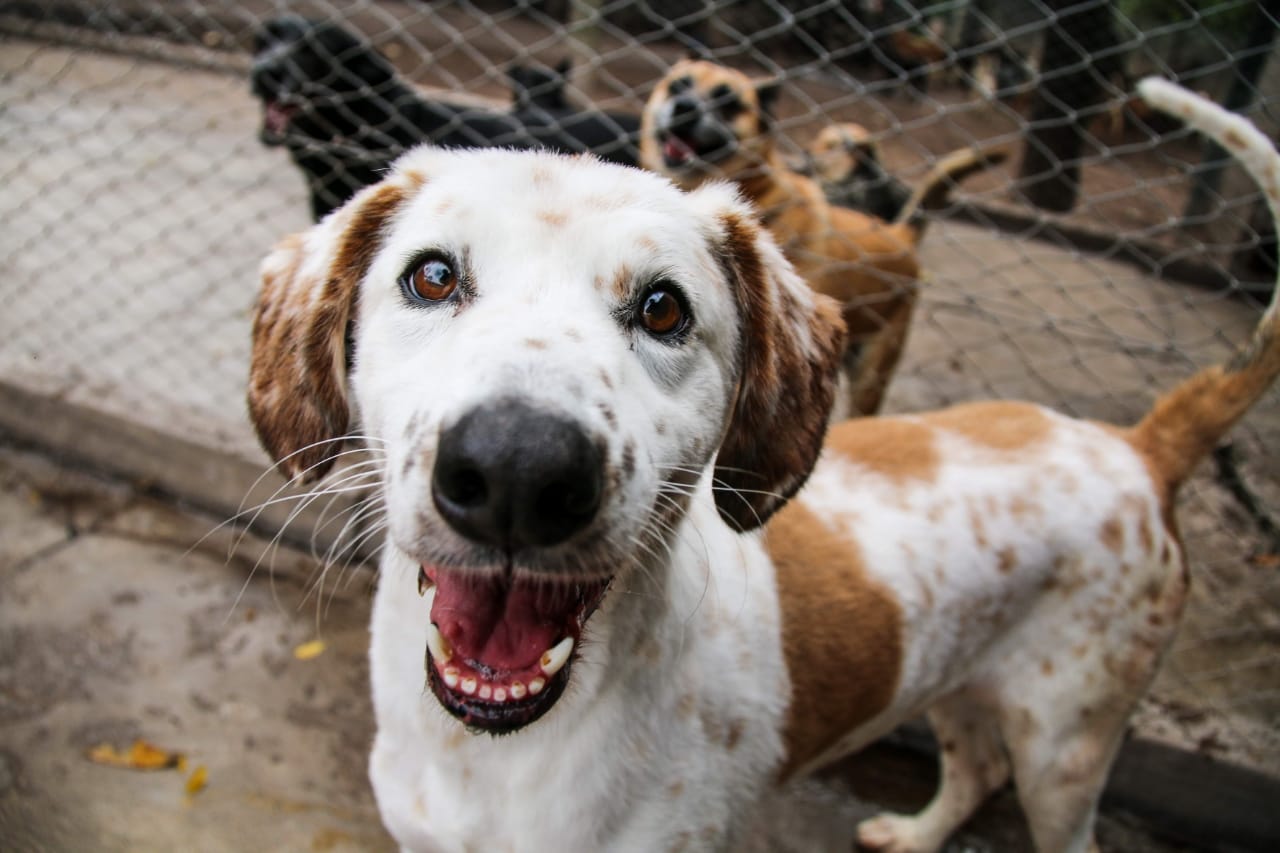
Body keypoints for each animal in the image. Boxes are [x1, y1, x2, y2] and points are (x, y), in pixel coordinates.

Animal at [249, 81, 1280, 850]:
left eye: (664, 307)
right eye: (431, 276)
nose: (517, 472)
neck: (493, 756)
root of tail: (1138, 443)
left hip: (1067, 748)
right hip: (962, 677)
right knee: (977, 766)